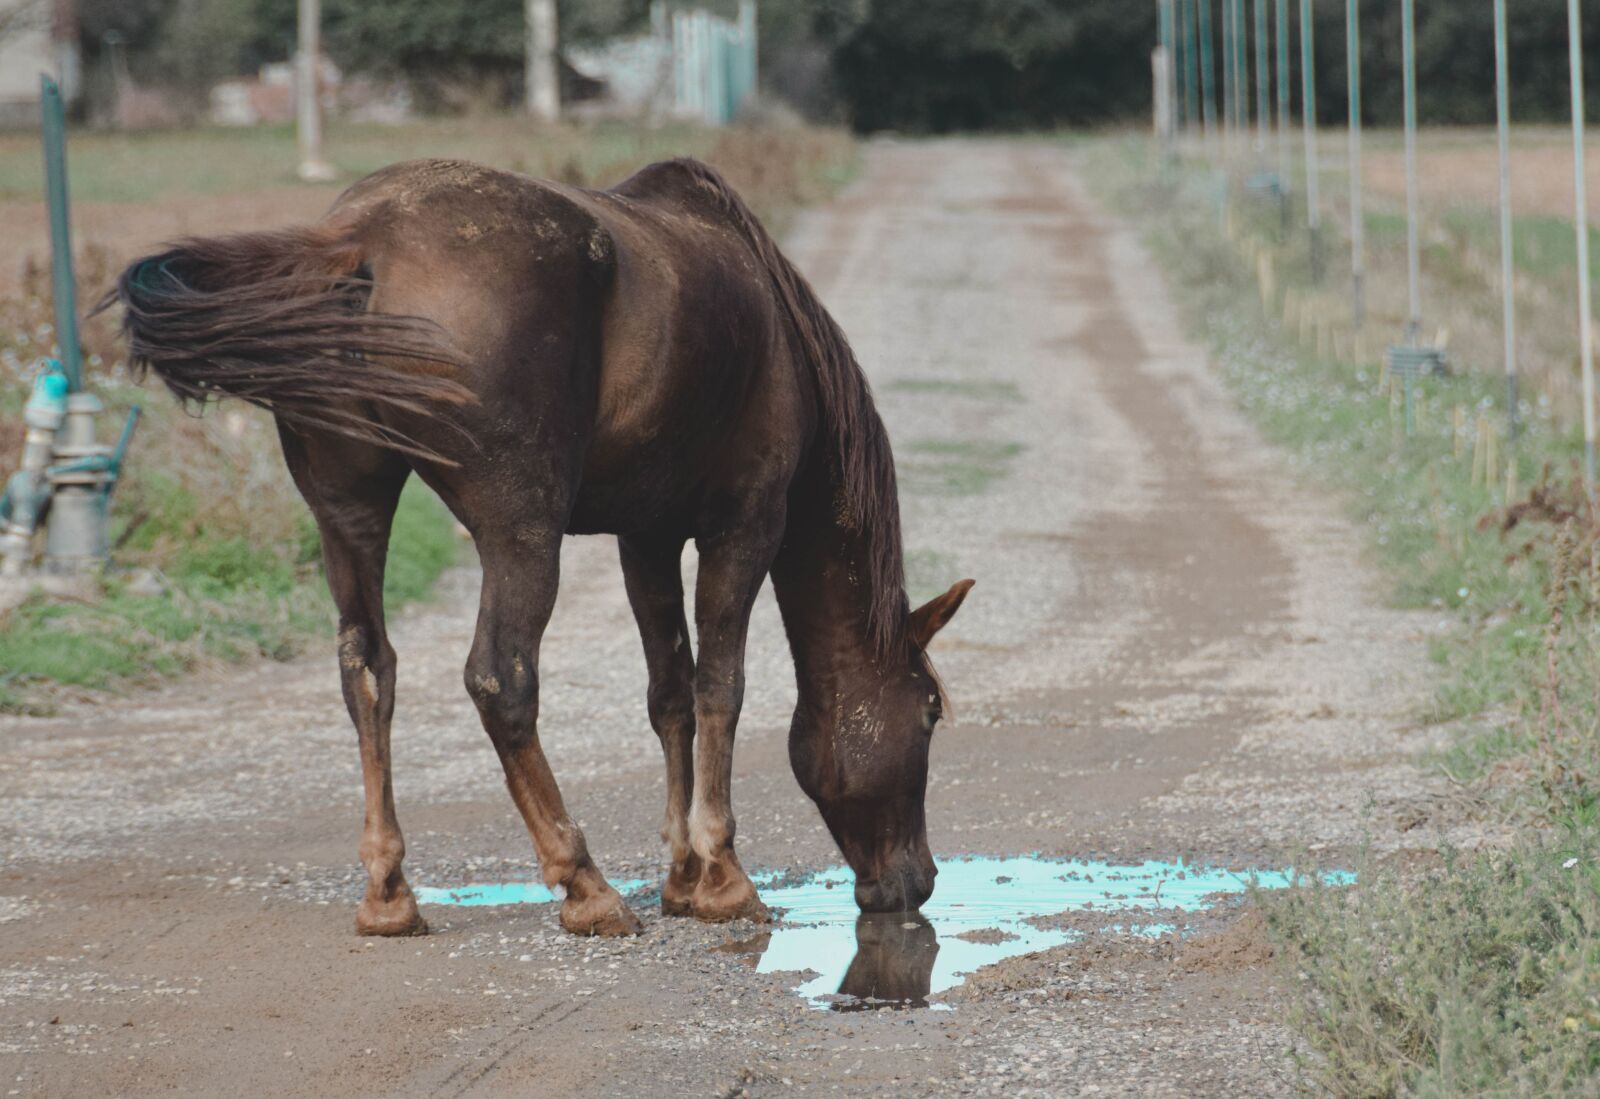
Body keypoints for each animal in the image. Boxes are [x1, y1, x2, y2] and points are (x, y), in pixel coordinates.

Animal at [108, 156, 973, 938]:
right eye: (929, 711)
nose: (918, 880)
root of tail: (360, 241)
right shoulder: (744, 524)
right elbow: (719, 688)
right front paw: (723, 876)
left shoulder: (646, 536)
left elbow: (669, 694)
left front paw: (681, 877)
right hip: (521, 529)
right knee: (502, 679)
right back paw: (584, 885)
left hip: (349, 514)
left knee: (369, 670)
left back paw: (389, 893)